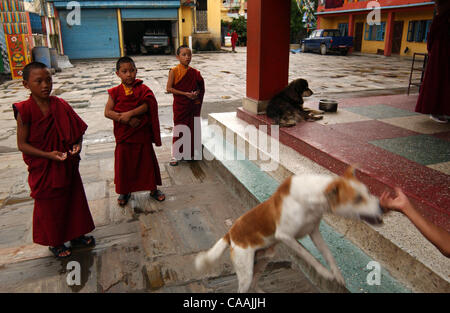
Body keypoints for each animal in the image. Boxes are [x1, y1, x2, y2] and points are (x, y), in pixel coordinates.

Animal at [194, 167, 384, 292]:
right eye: (358, 199)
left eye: (368, 192)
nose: (382, 207)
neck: (311, 200)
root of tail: (231, 233)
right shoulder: (286, 236)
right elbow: (309, 257)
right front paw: (325, 273)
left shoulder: (314, 232)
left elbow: (328, 255)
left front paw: (337, 275)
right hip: (245, 271)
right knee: (245, 287)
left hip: (264, 260)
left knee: (255, 282)